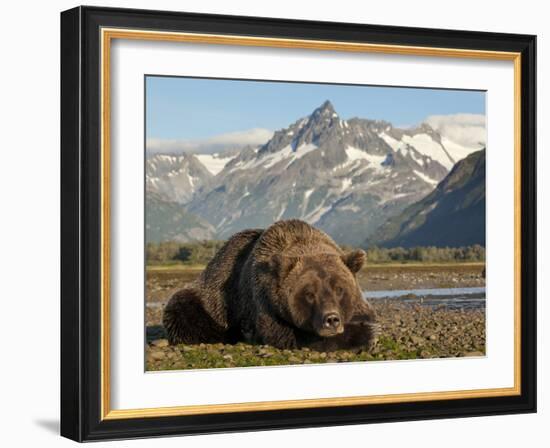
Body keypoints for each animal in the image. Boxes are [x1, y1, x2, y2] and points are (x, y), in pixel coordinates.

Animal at [164, 219, 380, 352]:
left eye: (339, 289)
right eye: (309, 294)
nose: (331, 319)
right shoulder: (262, 300)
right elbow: (285, 333)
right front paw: (356, 335)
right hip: (209, 298)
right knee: (184, 310)